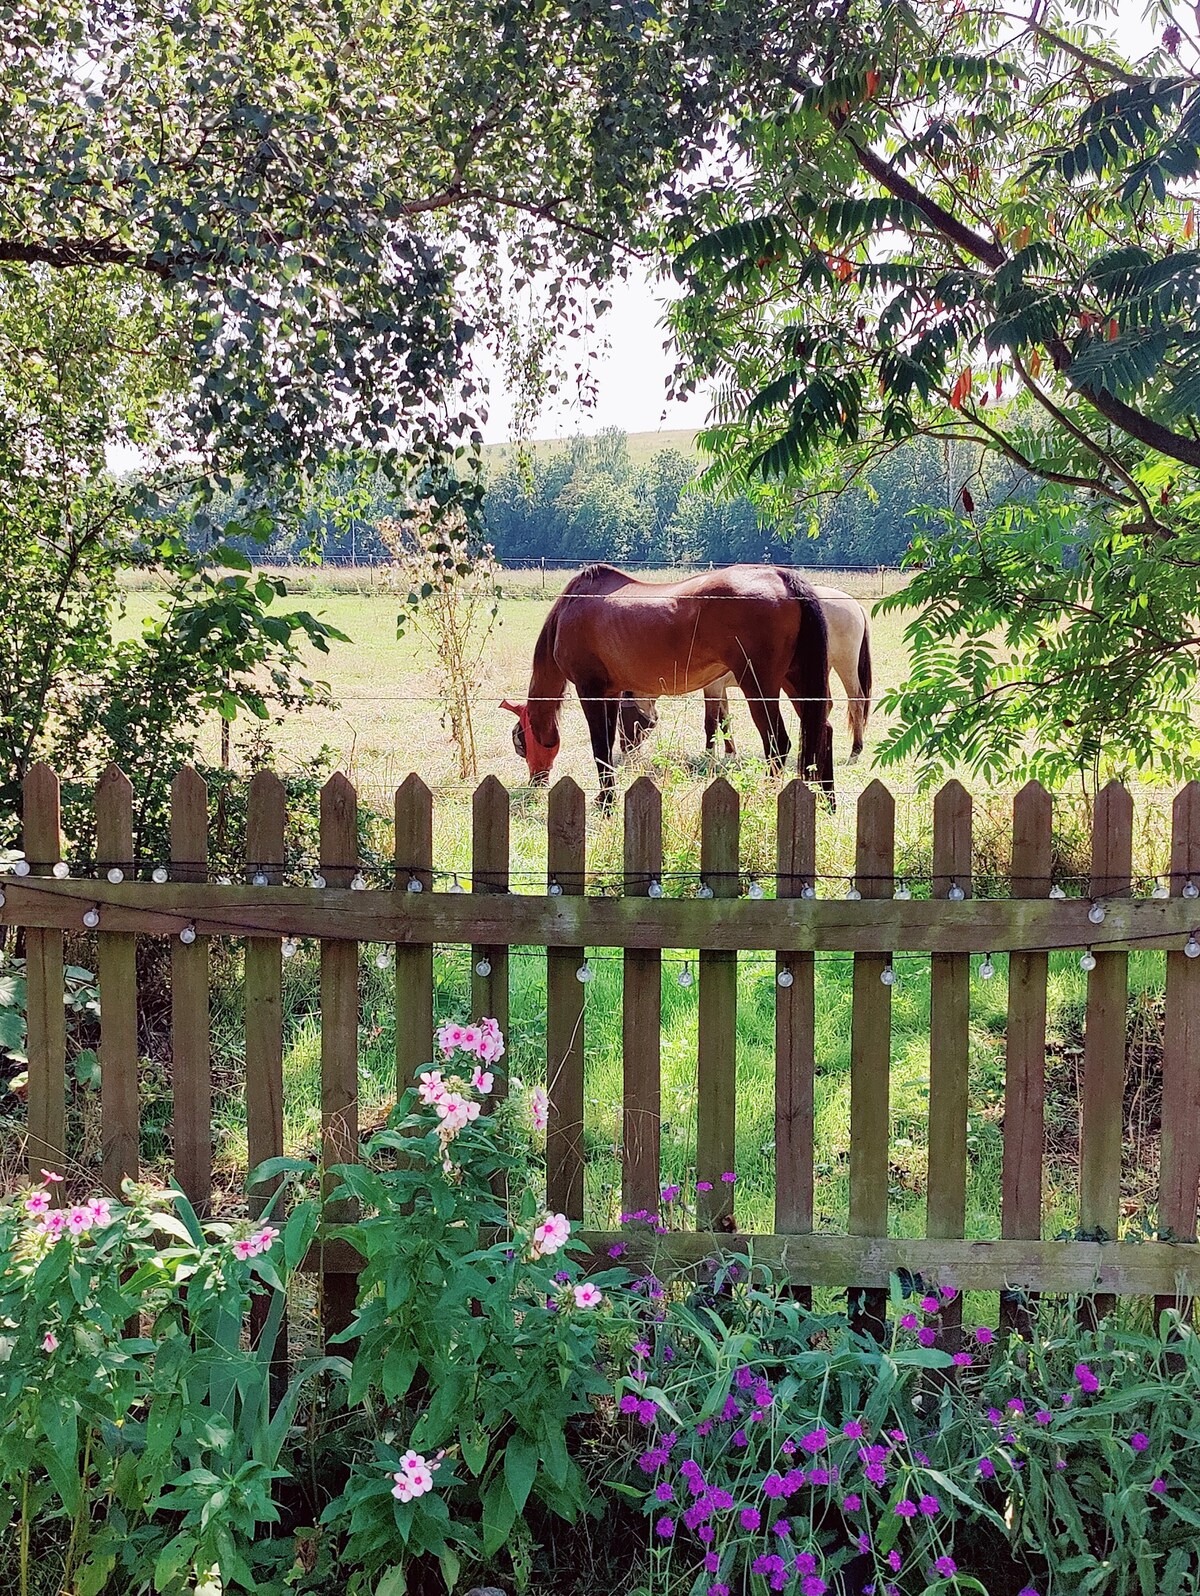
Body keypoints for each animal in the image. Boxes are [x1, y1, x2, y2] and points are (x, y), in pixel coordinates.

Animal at [501, 564, 829, 810]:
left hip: (759, 687)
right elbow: (608, 743)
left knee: (778, 744)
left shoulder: (590, 690)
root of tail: (780, 576)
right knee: (820, 733)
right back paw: (827, 801)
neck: (571, 606)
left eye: (520, 741)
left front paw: (607, 803)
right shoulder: (611, 693)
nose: (536, 781)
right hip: (796, 683)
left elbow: (600, 747)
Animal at [619, 584, 874, 762]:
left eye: (624, 717)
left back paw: (855, 750)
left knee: (856, 702)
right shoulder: (720, 688)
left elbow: (711, 722)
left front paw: (709, 756)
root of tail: (856, 605)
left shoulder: (712, 688)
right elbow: (725, 720)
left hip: (845, 665)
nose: (625, 751)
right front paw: (730, 752)